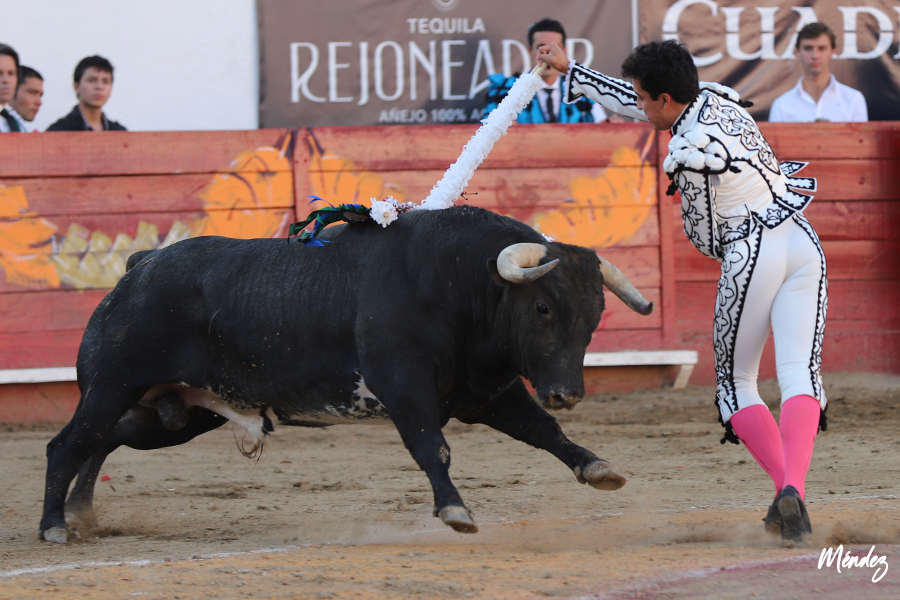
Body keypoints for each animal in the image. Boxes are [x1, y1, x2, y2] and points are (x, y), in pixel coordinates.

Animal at [40, 206, 652, 543]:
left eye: (595, 314)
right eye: (543, 307)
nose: (567, 393)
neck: (458, 281)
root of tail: (140, 267)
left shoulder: (487, 394)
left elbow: (546, 432)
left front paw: (599, 469)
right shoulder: (404, 387)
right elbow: (433, 448)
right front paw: (455, 511)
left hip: (174, 414)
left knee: (104, 440)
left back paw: (81, 513)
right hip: (112, 384)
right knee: (68, 444)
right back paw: (54, 525)